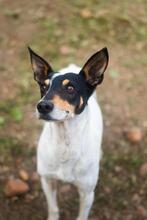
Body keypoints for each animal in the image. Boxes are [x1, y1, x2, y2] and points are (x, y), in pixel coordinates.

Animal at [28, 46, 108, 220]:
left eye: (70, 88)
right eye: (43, 87)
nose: (42, 106)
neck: (65, 142)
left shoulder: (87, 193)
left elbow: (82, 216)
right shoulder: (47, 180)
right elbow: (53, 209)